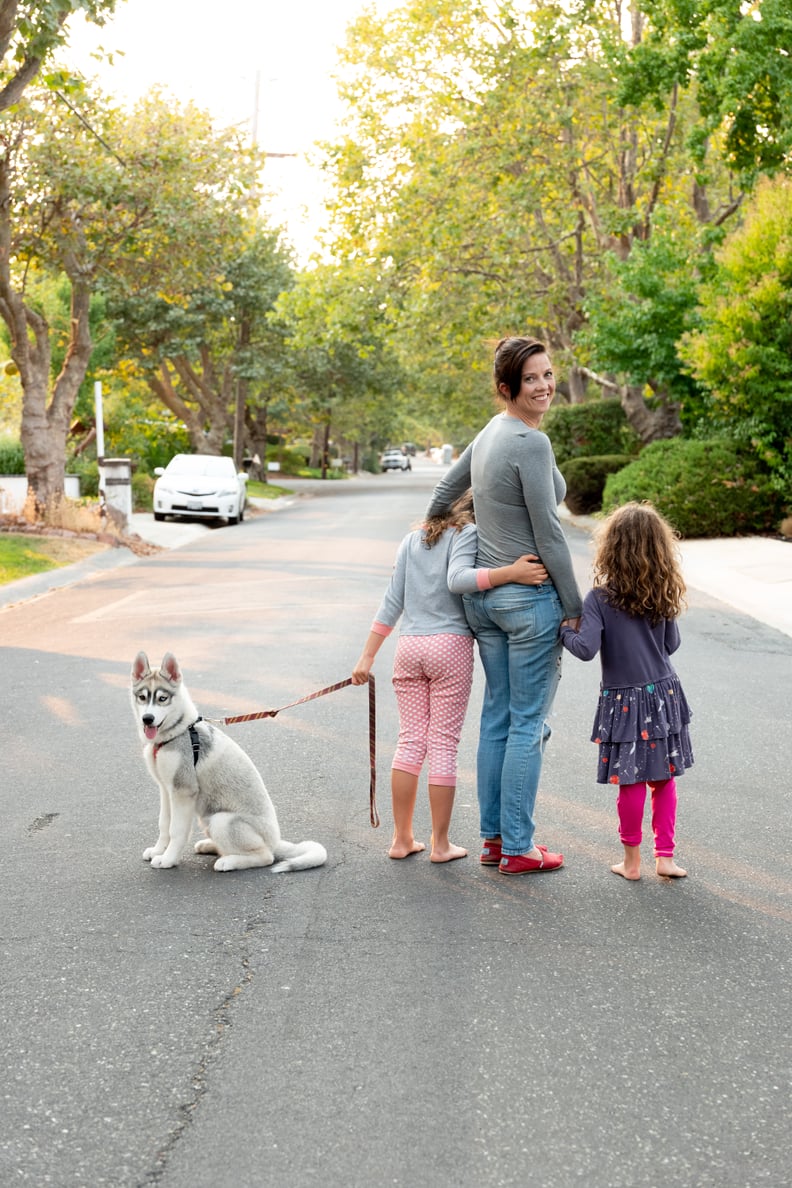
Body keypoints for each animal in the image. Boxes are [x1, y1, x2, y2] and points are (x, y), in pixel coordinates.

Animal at [130, 651, 327, 874]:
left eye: (162, 699)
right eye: (142, 697)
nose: (147, 718)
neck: (178, 731)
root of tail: (275, 842)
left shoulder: (183, 791)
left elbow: (176, 830)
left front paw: (168, 859)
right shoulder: (166, 789)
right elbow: (164, 824)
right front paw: (158, 851)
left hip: (221, 820)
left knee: (265, 857)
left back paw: (228, 862)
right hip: (208, 818)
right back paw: (210, 846)